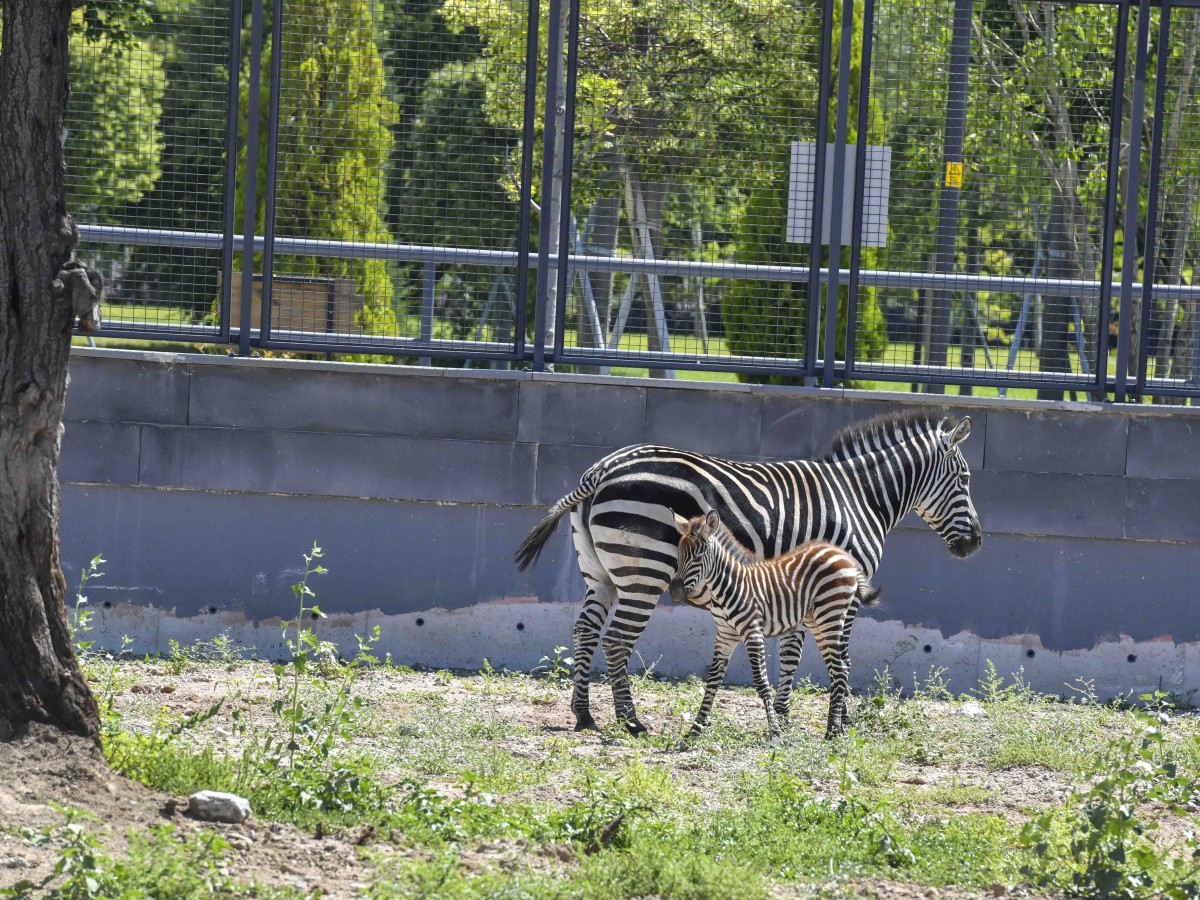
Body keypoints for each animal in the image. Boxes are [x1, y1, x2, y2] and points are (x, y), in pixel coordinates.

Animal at [669, 509, 882, 739]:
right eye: (679, 554)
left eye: (698, 556)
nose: (674, 591)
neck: (727, 586)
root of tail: (842, 554)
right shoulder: (725, 634)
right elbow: (713, 680)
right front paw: (695, 729)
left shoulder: (752, 632)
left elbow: (762, 682)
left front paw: (775, 731)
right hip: (817, 620)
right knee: (838, 669)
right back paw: (838, 727)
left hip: (830, 614)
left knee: (840, 668)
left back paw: (832, 730)